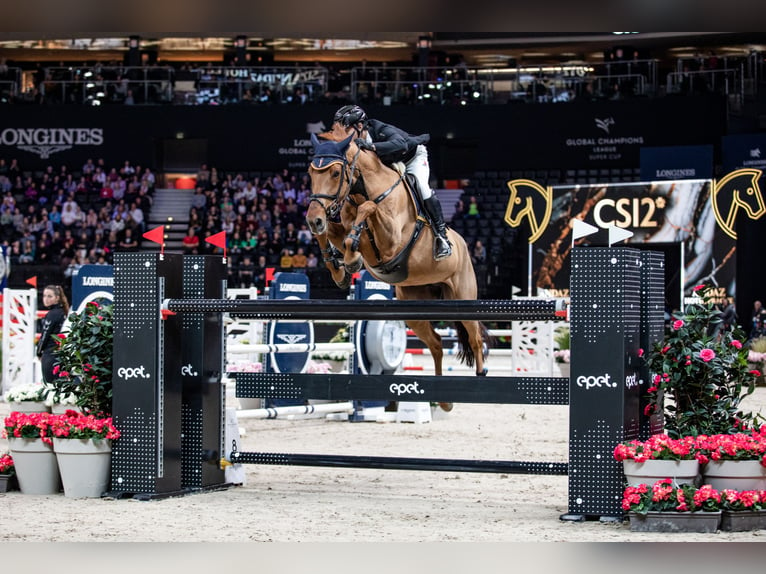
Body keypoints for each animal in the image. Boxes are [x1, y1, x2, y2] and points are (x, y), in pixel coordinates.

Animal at [306, 125, 492, 404]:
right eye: (310, 173)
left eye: (336, 172)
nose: (313, 219)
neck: (363, 188)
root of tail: (463, 244)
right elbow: (333, 233)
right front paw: (340, 268)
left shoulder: (391, 240)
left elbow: (368, 210)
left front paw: (351, 259)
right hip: (415, 309)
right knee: (436, 343)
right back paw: (444, 399)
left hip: (463, 297)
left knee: (475, 338)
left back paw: (480, 377)